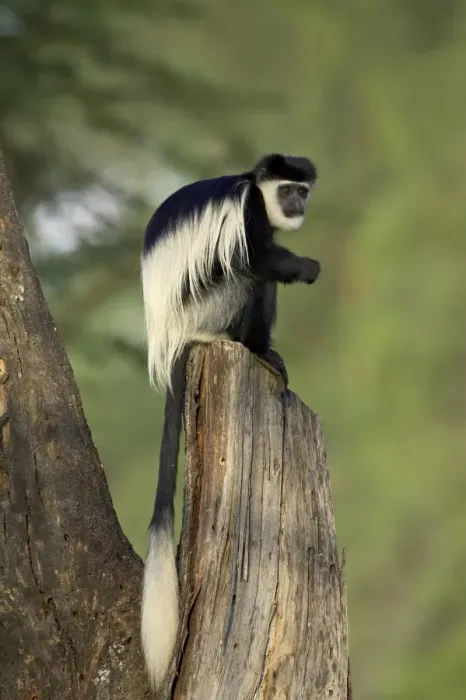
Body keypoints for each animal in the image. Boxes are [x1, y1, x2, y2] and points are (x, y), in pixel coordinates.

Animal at [140, 153, 320, 690]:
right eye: (289, 190)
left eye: (304, 190)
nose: (300, 204)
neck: (255, 188)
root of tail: (176, 338)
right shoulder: (245, 211)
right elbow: (256, 258)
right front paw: (307, 267)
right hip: (208, 308)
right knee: (246, 274)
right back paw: (256, 351)